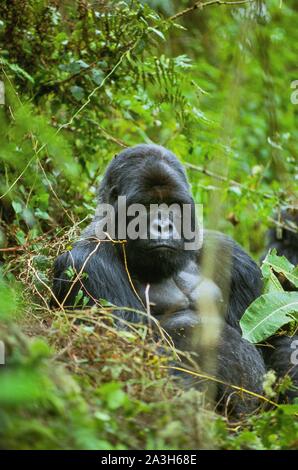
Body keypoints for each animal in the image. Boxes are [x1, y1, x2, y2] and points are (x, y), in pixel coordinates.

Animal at [51, 145, 296, 414]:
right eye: (146, 206)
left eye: (173, 206)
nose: (164, 226)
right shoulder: (87, 263)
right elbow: (127, 352)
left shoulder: (232, 255)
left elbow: (269, 339)